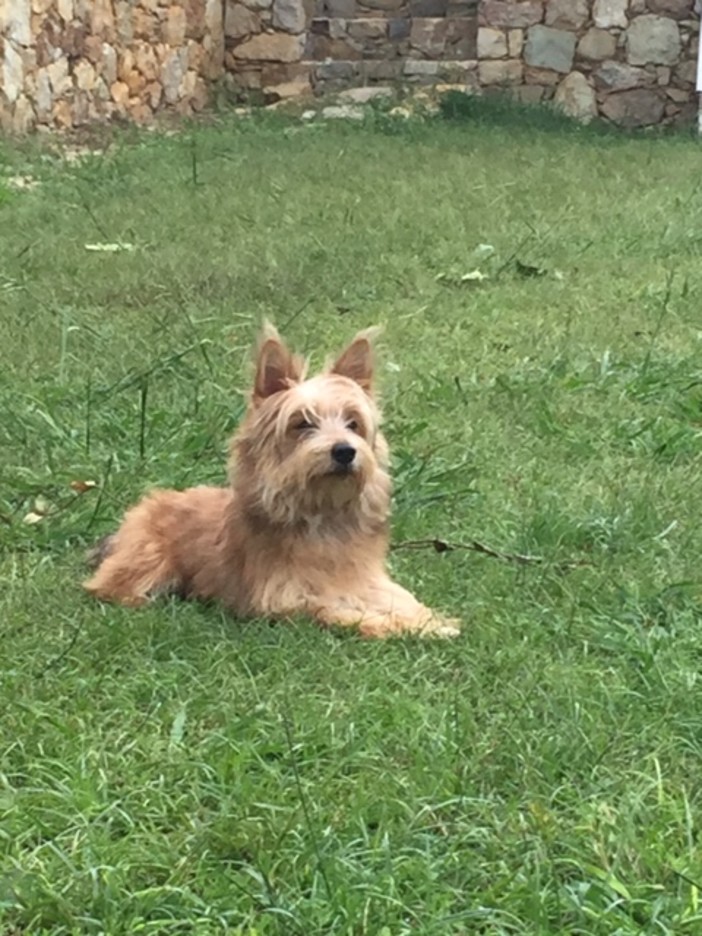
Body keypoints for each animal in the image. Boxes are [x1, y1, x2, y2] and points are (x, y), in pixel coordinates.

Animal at [84, 326, 462, 640]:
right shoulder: (287, 599)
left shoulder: (368, 582)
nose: (344, 451)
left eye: (353, 423)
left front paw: (427, 620)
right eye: (303, 423)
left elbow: (400, 600)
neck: (321, 512)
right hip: (146, 559)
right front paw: (396, 626)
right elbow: (340, 612)